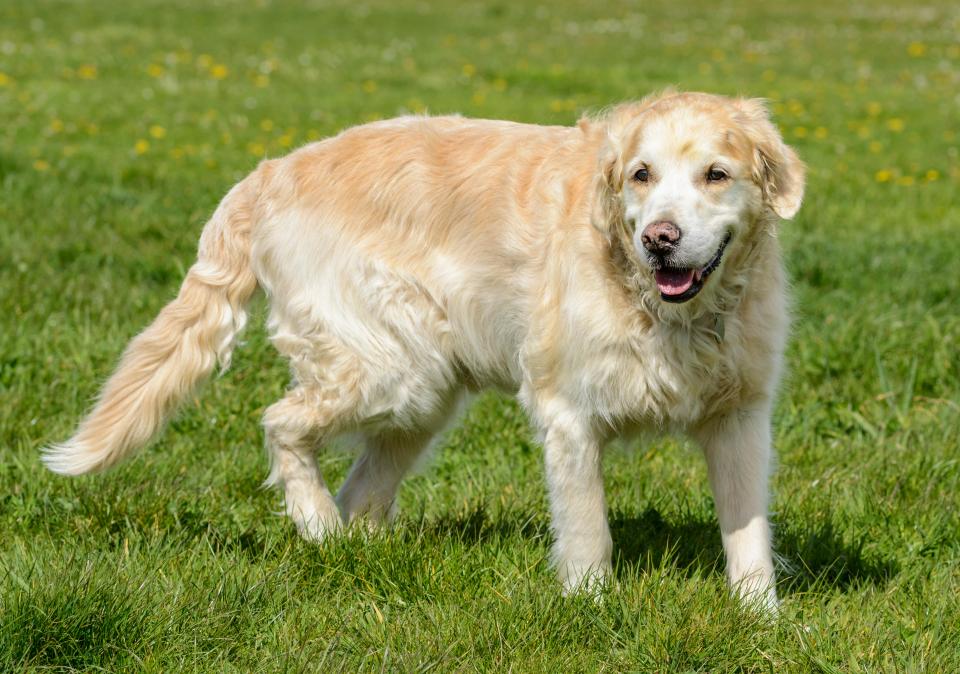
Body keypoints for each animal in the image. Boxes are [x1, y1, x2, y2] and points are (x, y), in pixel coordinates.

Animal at [47, 90, 804, 604]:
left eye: (715, 175)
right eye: (641, 175)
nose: (660, 239)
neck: (668, 312)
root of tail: (268, 172)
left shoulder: (740, 418)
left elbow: (748, 534)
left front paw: (758, 617)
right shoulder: (569, 416)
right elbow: (589, 533)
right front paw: (590, 606)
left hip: (422, 394)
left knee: (359, 492)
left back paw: (351, 549)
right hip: (390, 368)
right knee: (281, 424)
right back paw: (314, 524)